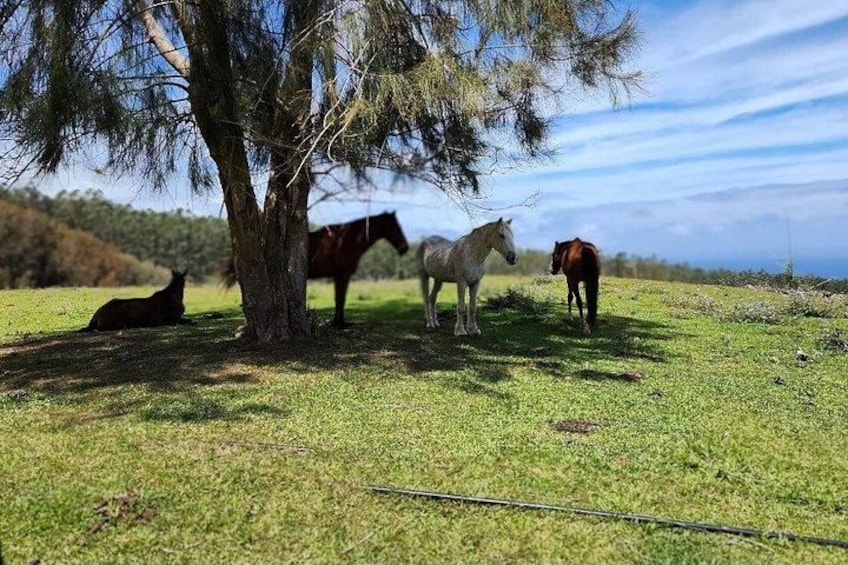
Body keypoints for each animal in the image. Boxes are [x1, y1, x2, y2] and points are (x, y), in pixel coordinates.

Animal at [223, 211, 409, 328]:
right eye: (395, 227)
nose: (404, 248)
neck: (346, 240)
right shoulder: (341, 275)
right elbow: (340, 299)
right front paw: (339, 324)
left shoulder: (341, 276)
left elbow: (340, 299)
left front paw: (339, 322)